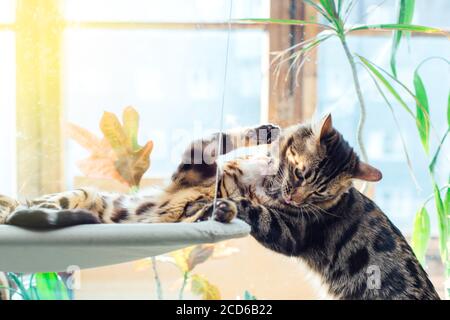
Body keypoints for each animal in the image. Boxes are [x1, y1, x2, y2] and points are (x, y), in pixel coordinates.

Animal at [230, 115, 438, 300]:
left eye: (319, 193)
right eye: (299, 174)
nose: (293, 200)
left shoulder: (291, 232)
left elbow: (257, 213)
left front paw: (231, 204)